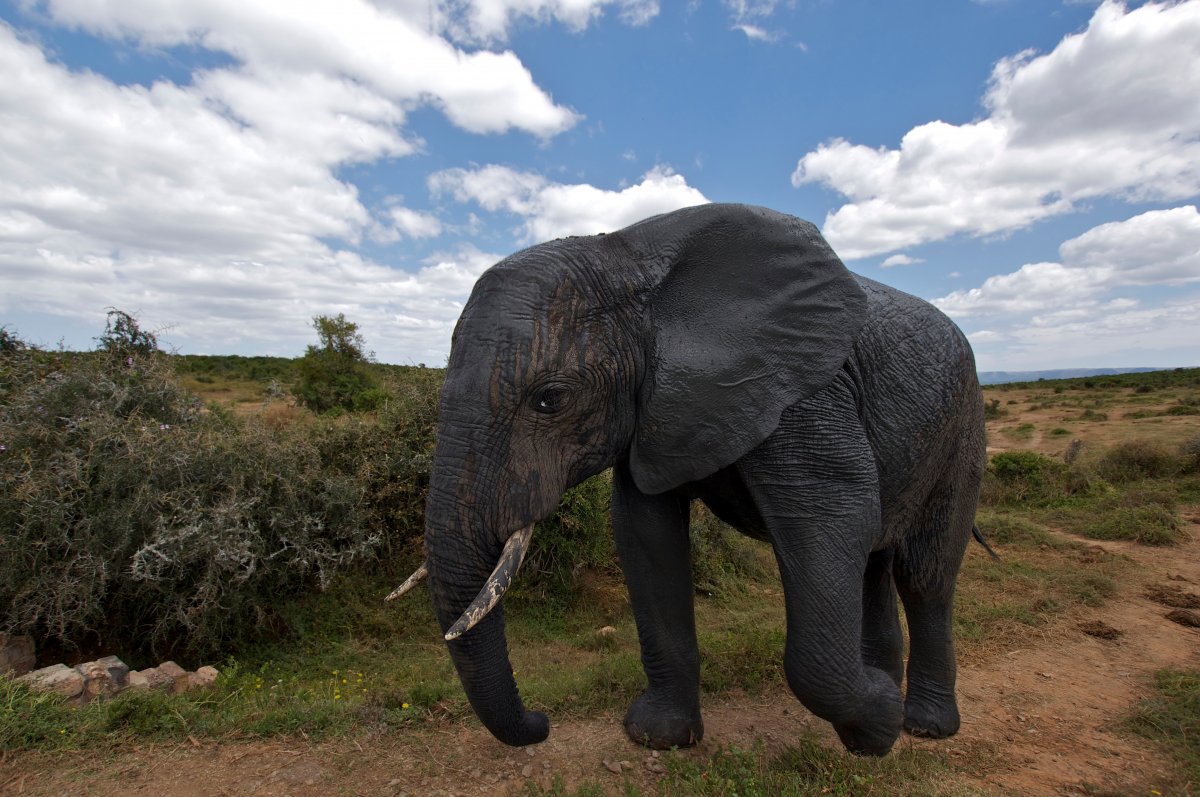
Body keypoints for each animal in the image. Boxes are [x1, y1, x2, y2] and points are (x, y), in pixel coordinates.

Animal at [393, 202, 984, 758]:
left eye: (550, 399)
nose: (541, 721)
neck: (630, 260)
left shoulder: (807, 392)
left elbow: (832, 520)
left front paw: (878, 728)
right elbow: (645, 536)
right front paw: (659, 738)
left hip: (964, 427)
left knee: (924, 576)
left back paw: (923, 726)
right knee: (875, 565)